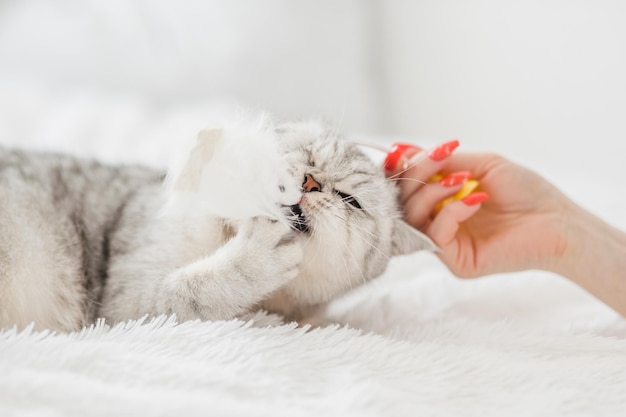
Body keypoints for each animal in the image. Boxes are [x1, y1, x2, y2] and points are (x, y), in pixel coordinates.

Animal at [0, 118, 434, 330]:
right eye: (308, 156)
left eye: (350, 200)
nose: (311, 183)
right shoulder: (124, 305)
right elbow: (195, 290)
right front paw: (254, 265)